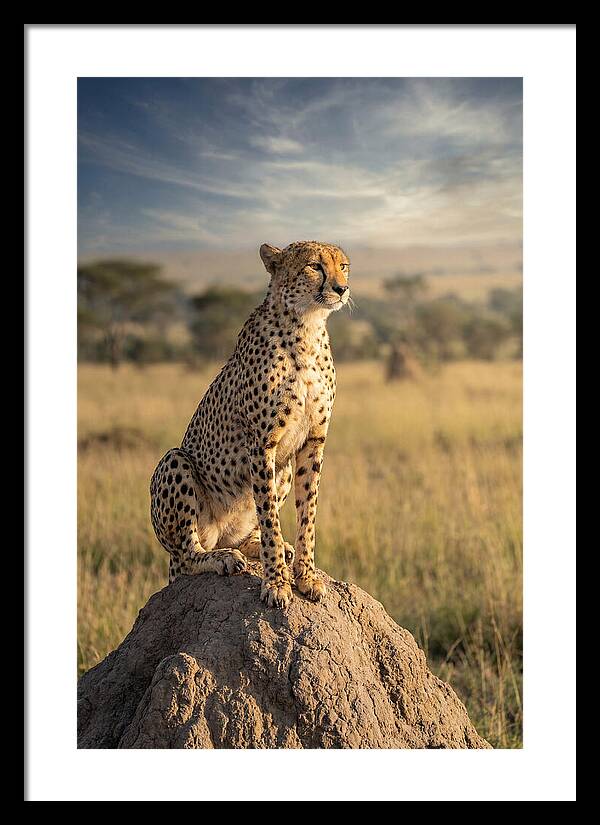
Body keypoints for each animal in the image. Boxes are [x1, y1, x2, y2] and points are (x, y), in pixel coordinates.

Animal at [150, 240, 350, 608]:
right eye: (315, 266)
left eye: (343, 266)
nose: (341, 289)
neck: (307, 326)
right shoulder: (261, 444)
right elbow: (270, 515)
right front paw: (276, 583)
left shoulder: (313, 441)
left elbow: (308, 514)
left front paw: (306, 576)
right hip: (175, 463)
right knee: (187, 554)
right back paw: (222, 558)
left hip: (283, 470)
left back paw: (259, 547)